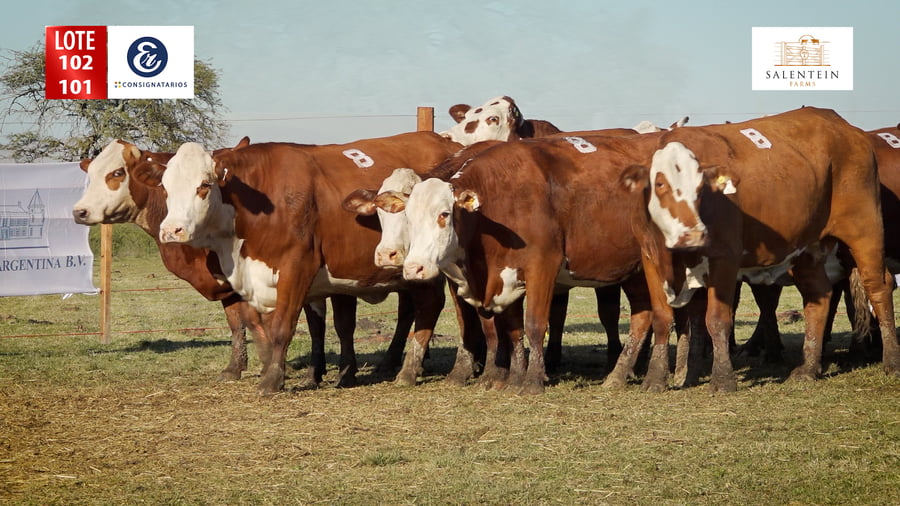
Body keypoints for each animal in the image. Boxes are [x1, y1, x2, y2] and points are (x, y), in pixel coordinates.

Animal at [71, 138, 396, 388]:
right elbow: (238, 323)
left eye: (116, 172)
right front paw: (237, 367)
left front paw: (270, 366)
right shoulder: (232, 283)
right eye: (165, 187)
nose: (79, 212)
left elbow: (263, 321)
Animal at [152, 132, 464, 394]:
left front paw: (272, 379)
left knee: (430, 306)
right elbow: (313, 326)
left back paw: (413, 370)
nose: (171, 231)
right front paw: (312, 375)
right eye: (165, 189)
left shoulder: (296, 267)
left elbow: (282, 326)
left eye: (203, 186)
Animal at [389, 133, 670, 394]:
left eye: (444, 214)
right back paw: (618, 374)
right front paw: (512, 379)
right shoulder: (503, 276)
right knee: (642, 314)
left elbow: (534, 325)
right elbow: (509, 331)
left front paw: (532, 381)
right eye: (408, 218)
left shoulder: (542, 267)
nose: (414, 268)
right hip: (635, 270)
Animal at [619, 106, 900, 393]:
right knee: (819, 297)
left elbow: (717, 319)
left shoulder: (725, 259)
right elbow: (662, 318)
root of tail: (844, 127)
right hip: (807, 247)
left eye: (701, 188)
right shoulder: (650, 258)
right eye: (660, 184)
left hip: (865, 230)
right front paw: (655, 379)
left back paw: (891, 361)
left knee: (878, 287)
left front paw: (722, 380)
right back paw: (809, 368)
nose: (694, 233)